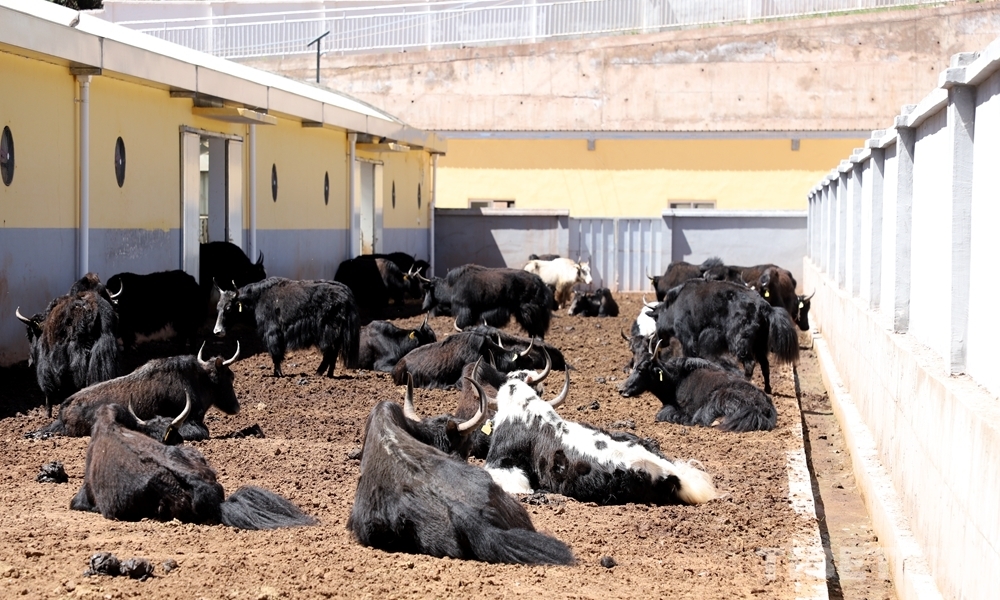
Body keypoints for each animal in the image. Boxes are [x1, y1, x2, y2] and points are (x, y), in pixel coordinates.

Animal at [214, 277, 360, 378]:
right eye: (218, 307)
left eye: (229, 308)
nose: (217, 331)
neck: (257, 299)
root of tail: (346, 294)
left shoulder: (272, 333)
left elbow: (275, 354)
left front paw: (278, 374)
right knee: (333, 353)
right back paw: (329, 374)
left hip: (327, 332)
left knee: (329, 352)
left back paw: (318, 373)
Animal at [418, 265, 553, 339]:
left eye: (427, 290)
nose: (423, 307)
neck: (452, 287)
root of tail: (539, 281)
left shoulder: (464, 310)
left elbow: (462, 325)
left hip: (529, 312)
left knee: (537, 330)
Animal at [618, 342, 777, 432]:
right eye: (634, 366)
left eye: (641, 370)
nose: (621, 389)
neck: (675, 381)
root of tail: (764, 407)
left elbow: (663, 413)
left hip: (720, 397)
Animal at [650, 279, 799, 394]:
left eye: (656, 319)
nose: (659, 341)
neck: (674, 306)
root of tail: (764, 306)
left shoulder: (687, 336)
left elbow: (690, 355)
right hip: (759, 344)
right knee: (765, 365)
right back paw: (767, 389)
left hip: (740, 341)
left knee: (750, 364)